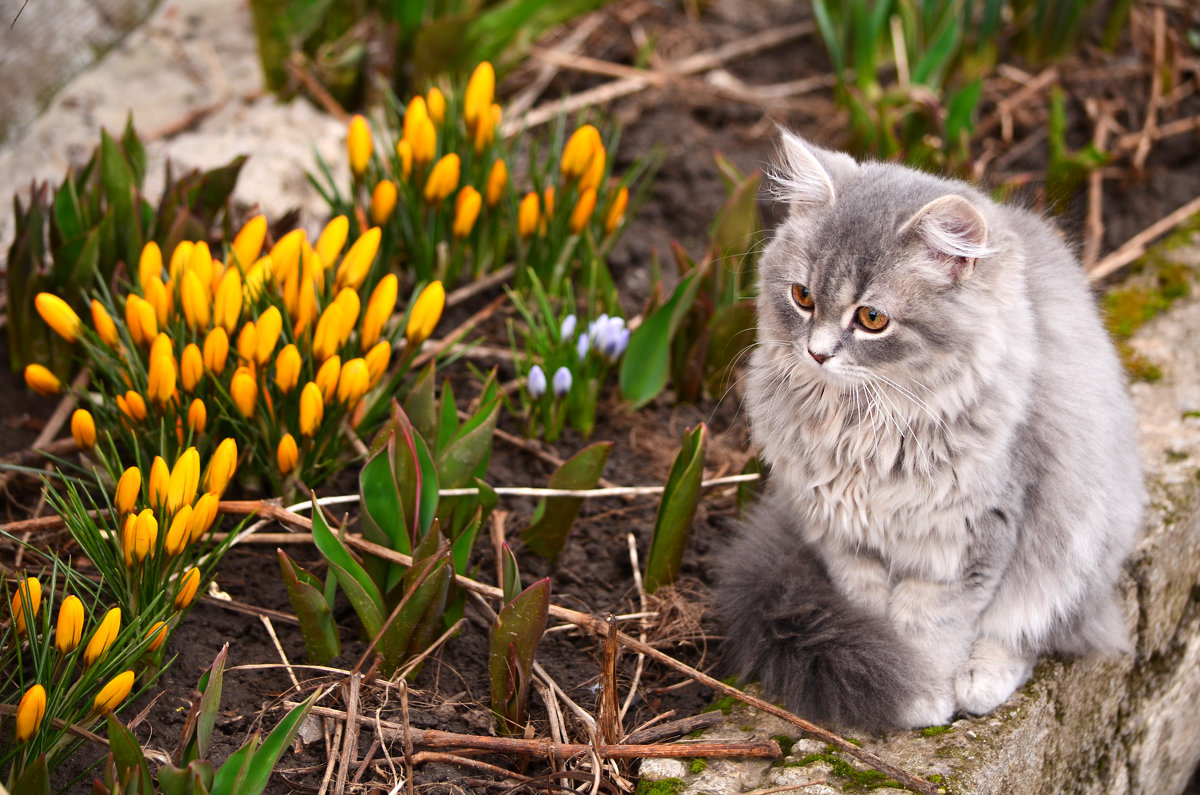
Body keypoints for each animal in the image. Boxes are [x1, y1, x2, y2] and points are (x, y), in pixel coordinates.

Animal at [710, 132, 1142, 734]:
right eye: (802, 297)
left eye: (871, 319)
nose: (817, 353)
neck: (862, 427)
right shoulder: (844, 539)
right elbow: (879, 619)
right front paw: (902, 684)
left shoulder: (969, 537)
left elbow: (932, 626)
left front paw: (927, 690)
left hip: (1077, 540)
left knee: (1034, 625)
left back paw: (982, 679)